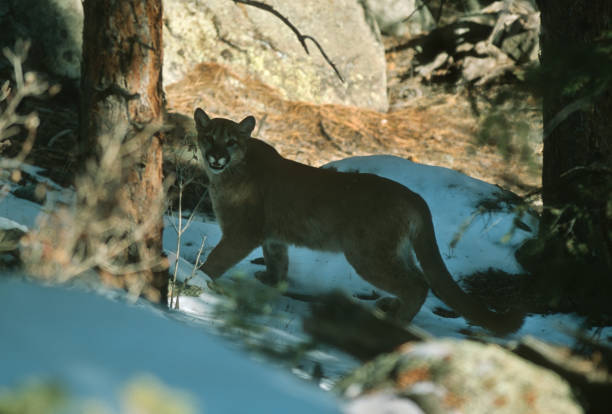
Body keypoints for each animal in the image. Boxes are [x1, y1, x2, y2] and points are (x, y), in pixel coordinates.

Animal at [192, 109, 520, 334]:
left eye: (231, 142)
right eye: (208, 138)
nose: (216, 157)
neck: (229, 173)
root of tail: (414, 195)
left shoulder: (242, 232)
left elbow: (218, 259)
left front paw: (197, 277)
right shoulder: (273, 237)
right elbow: (278, 263)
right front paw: (271, 282)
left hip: (367, 254)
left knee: (417, 284)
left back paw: (395, 321)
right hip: (390, 251)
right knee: (418, 276)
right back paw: (389, 306)